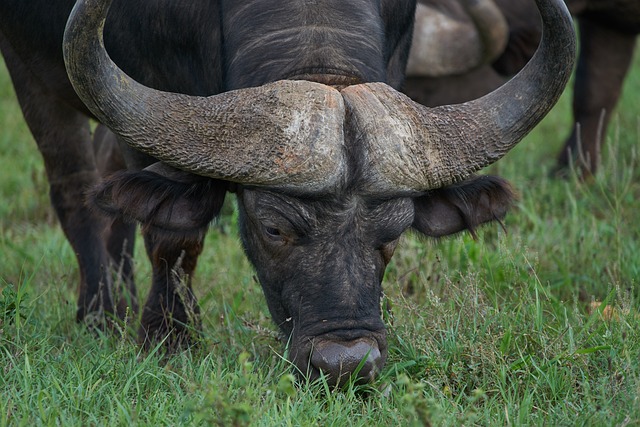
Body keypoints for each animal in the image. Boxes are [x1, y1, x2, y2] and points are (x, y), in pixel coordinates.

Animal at [0, 0, 576, 388]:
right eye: (273, 227)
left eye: (394, 234)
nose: (344, 365)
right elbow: (174, 237)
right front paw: (169, 341)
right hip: (33, 75)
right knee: (75, 188)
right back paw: (100, 313)